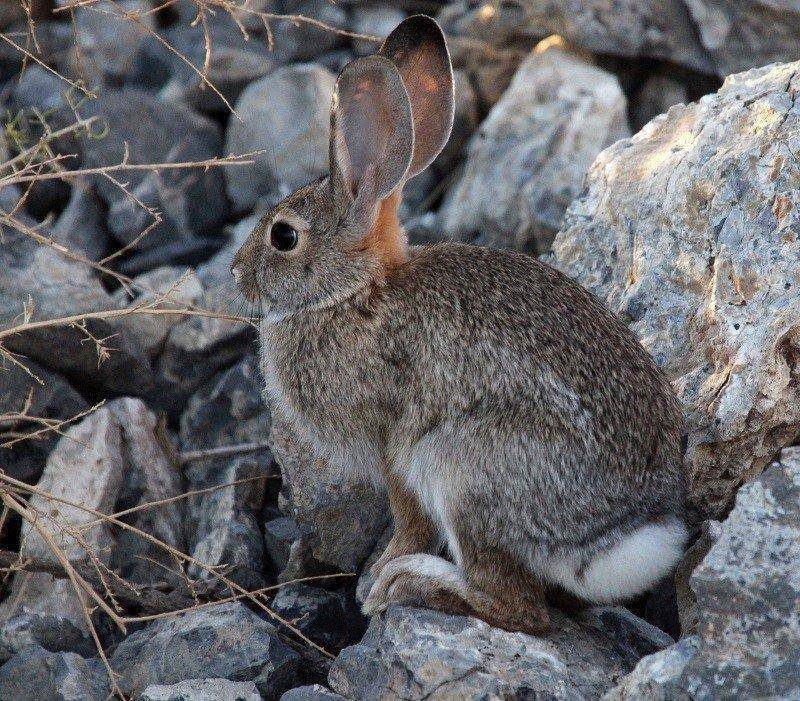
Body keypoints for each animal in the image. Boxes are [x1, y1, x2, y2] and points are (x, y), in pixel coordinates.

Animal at [233, 16, 688, 632]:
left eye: (284, 236)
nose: (236, 274)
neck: (352, 292)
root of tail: (618, 536)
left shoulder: (394, 447)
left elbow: (408, 519)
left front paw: (380, 573)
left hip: (463, 470)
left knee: (520, 610)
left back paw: (412, 585)